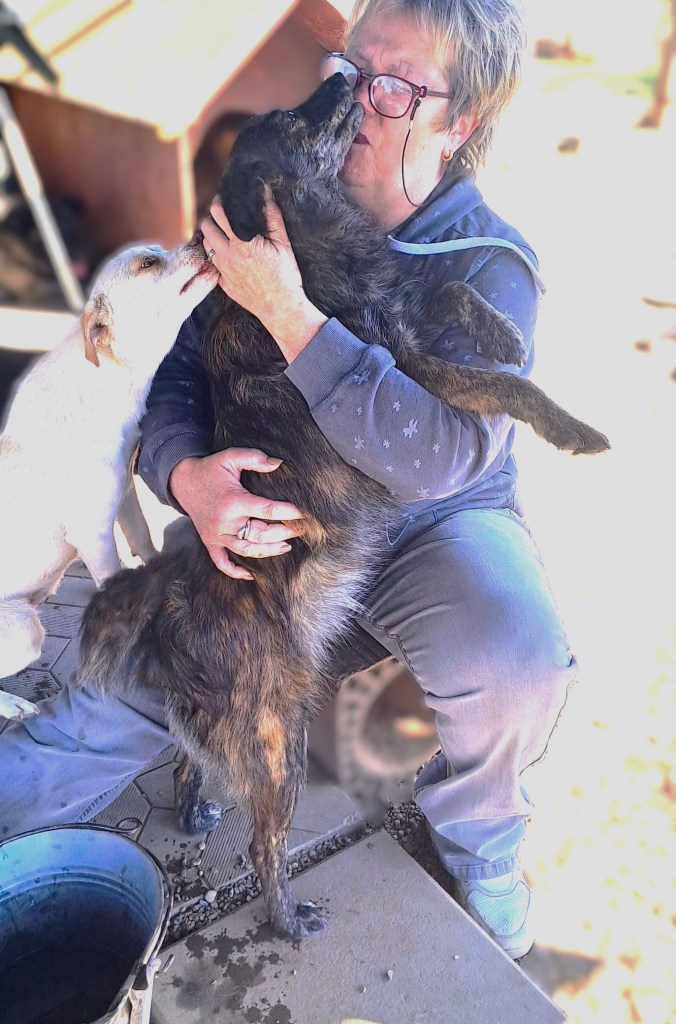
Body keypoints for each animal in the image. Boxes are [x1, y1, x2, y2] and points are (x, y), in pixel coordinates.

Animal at [0, 239, 218, 718]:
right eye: (149, 263)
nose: (198, 237)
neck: (110, 380)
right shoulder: (95, 535)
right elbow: (114, 581)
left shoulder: (125, 497)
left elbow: (145, 545)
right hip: (24, 629)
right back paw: (16, 706)